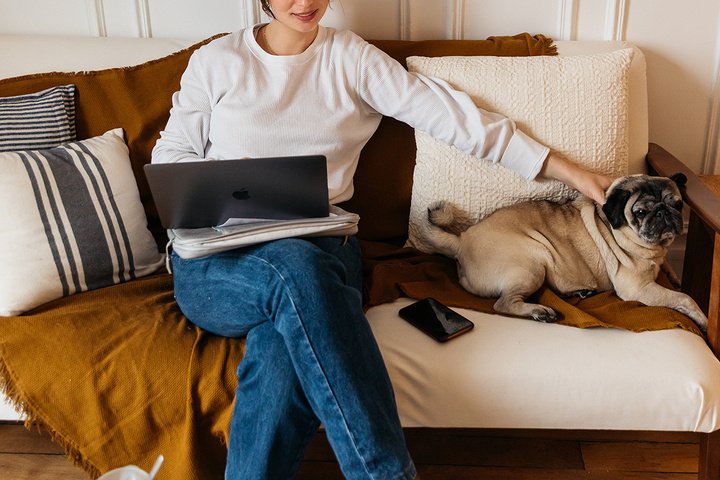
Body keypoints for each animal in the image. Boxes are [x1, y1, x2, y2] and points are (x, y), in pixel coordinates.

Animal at [428, 174, 708, 332]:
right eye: (640, 212)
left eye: (677, 204)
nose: (664, 213)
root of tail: (461, 240)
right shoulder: (638, 289)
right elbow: (684, 299)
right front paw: (702, 318)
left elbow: (670, 272)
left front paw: (674, 275)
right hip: (533, 261)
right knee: (503, 303)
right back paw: (539, 311)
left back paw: (581, 292)